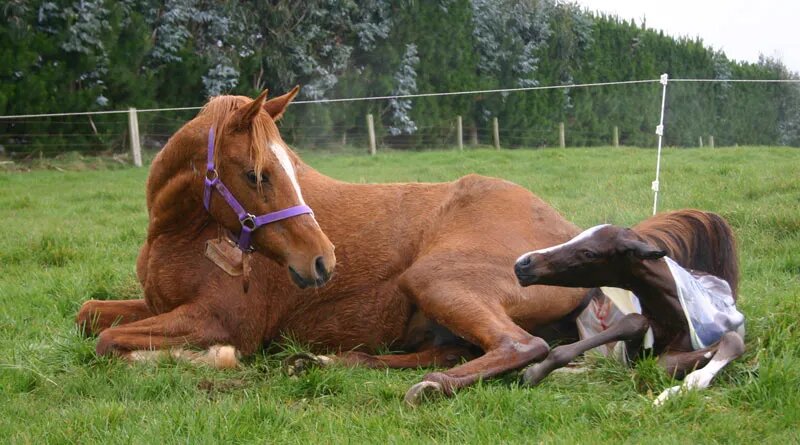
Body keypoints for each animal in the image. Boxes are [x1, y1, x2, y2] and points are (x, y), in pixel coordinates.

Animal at [75, 89, 588, 402]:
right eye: (257, 174)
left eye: (291, 166)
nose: (322, 261)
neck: (179, 234)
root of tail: (569, 235)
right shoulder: (157, 304)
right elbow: (88, 318)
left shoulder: (218, 322)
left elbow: (107, 342)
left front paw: (210, 358)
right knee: (443, 352)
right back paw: (319, 361)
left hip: (433, 280)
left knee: (520, 345)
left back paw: (429, 387)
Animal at [512, 209, 744, 402]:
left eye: (589, 253)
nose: (523, 263)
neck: (675, 317)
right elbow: (634, 322)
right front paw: (534, 372)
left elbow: (731, 341)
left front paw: (673, 392)